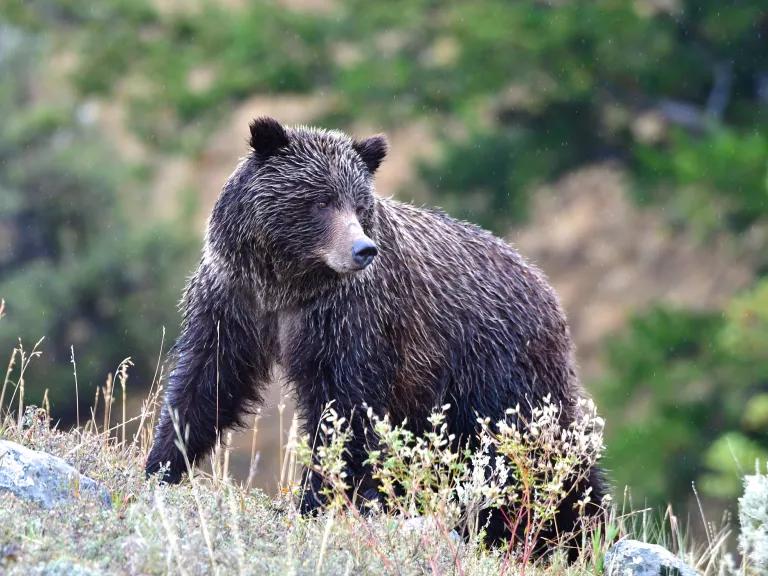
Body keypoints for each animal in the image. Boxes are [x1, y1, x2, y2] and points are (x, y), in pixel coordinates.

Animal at [146, 117, 607, 554]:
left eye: (358, 203)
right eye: (320, 200)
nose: (362, 250)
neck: (287, 285)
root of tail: (546, 288)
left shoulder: (352, 320)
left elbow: (342, 410)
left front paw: (315, 500)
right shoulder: (235, 301)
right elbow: (208, 380)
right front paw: (162, 463)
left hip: (499, 369)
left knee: (539, 449)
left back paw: (575, 529)